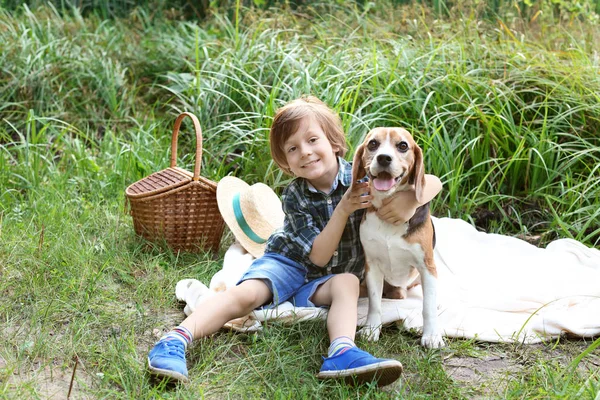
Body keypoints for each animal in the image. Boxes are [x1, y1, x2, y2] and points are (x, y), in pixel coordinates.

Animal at [352, 127, 446, 346]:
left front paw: (431, 335)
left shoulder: (426, 266)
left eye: (403, 145)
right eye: (373, 144)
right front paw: (371, 329)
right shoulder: (372, 266)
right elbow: (375, 303)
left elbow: (428, 307)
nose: (384, 158)